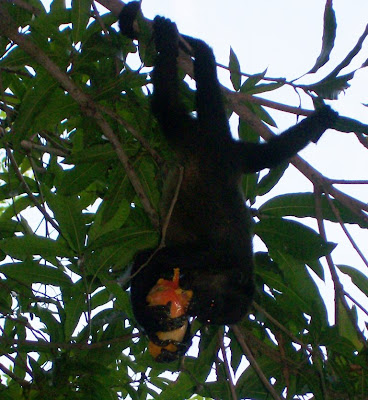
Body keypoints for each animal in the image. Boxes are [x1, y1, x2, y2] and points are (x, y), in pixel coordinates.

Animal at [119, 1, 338, 360]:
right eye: (211, 306)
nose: (197, 311)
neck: (222, 271)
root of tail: (221, 142)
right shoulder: (210, 255)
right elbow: (149, 258)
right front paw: (152, 322)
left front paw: (179, 342)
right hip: (190, 133)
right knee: (165, 103)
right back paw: (166, 40)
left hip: (235, 153)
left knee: (267, 154)